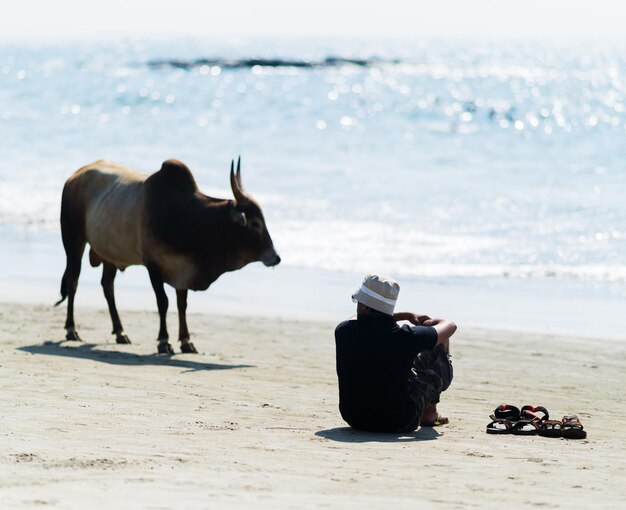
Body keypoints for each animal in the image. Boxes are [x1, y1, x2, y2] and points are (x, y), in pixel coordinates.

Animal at [56, 158, 280, 354]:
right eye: (254, 223)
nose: (276, 258)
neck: (190, 217)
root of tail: (74, 177)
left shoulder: (183, 269)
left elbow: (182, 305)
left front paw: (186, 342)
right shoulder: (153, 266)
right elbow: (163, 302)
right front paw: (164, 341)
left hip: (110, 253)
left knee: (107, 286)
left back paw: (120, 332)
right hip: (73, 241)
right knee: (73, 281)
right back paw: (71, 330)